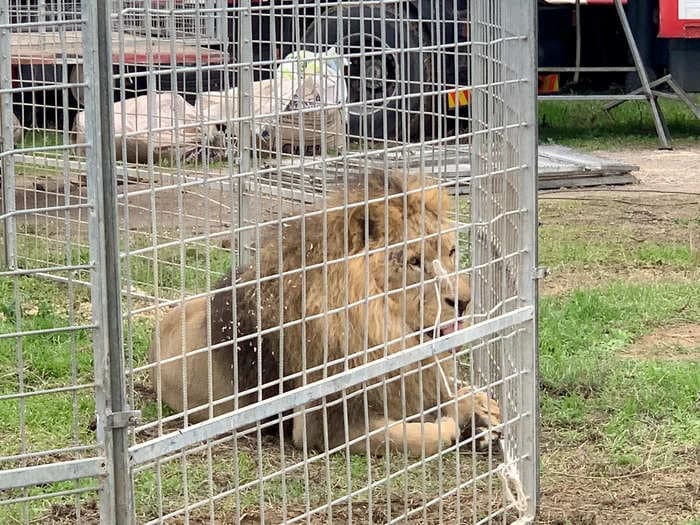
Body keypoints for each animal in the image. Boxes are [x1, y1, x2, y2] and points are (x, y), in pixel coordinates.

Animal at [150, 174, 500, 456]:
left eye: (451, 252)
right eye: (413, 262)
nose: (464, 302)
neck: (383, 329)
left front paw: (482, 413)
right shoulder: (325, 427)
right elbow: (419, 435)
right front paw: (460, 428)